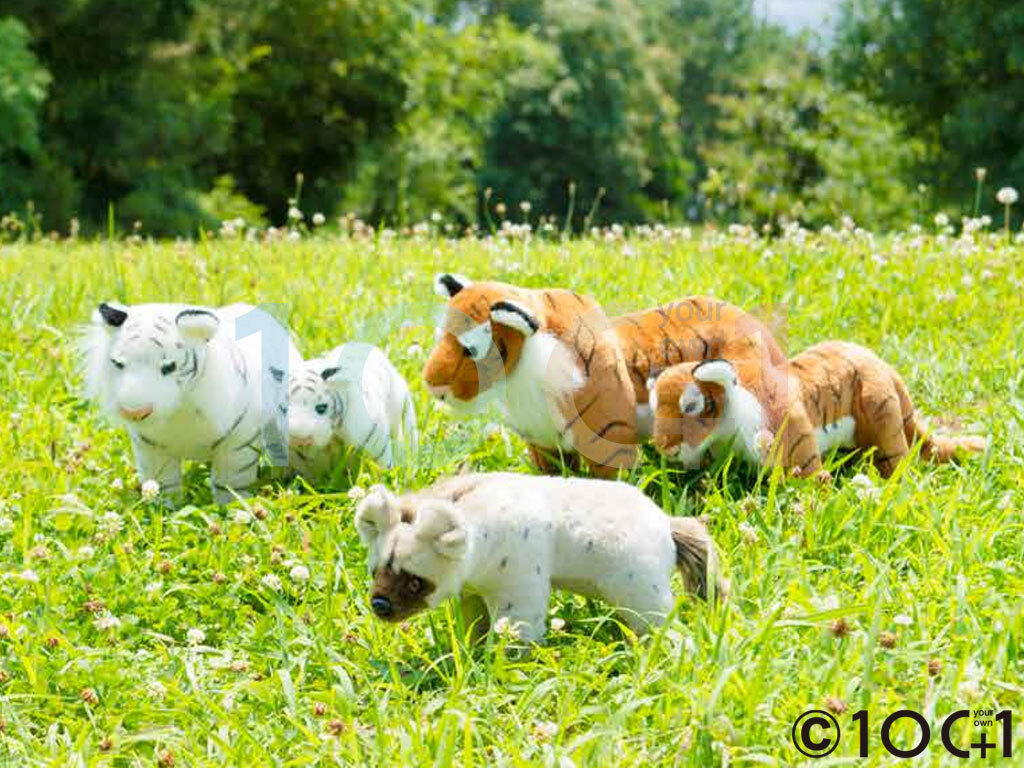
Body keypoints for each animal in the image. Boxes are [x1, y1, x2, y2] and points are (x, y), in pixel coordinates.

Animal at [81, 301, 301, 503]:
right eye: (118, 364)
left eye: (169, 367)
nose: (135, 412)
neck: (178, 409)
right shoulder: (150, 446)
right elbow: (162, 483)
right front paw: (164, 509)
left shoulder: (238, 440)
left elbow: (230, 483)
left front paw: (231, 508)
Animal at [422, 273, 785, 478]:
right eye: (441, 337)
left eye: (470, 350)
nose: (431, 386)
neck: (521, 377)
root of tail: (760, 328)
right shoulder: (543, 442)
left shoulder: (608, 436)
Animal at [649, 341, 988, 479]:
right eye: (655, 410)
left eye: (692, 407)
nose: (664, 447)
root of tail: (884, 365)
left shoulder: (792, 427)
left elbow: (811, 477)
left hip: (882, 408)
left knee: (897, 459)